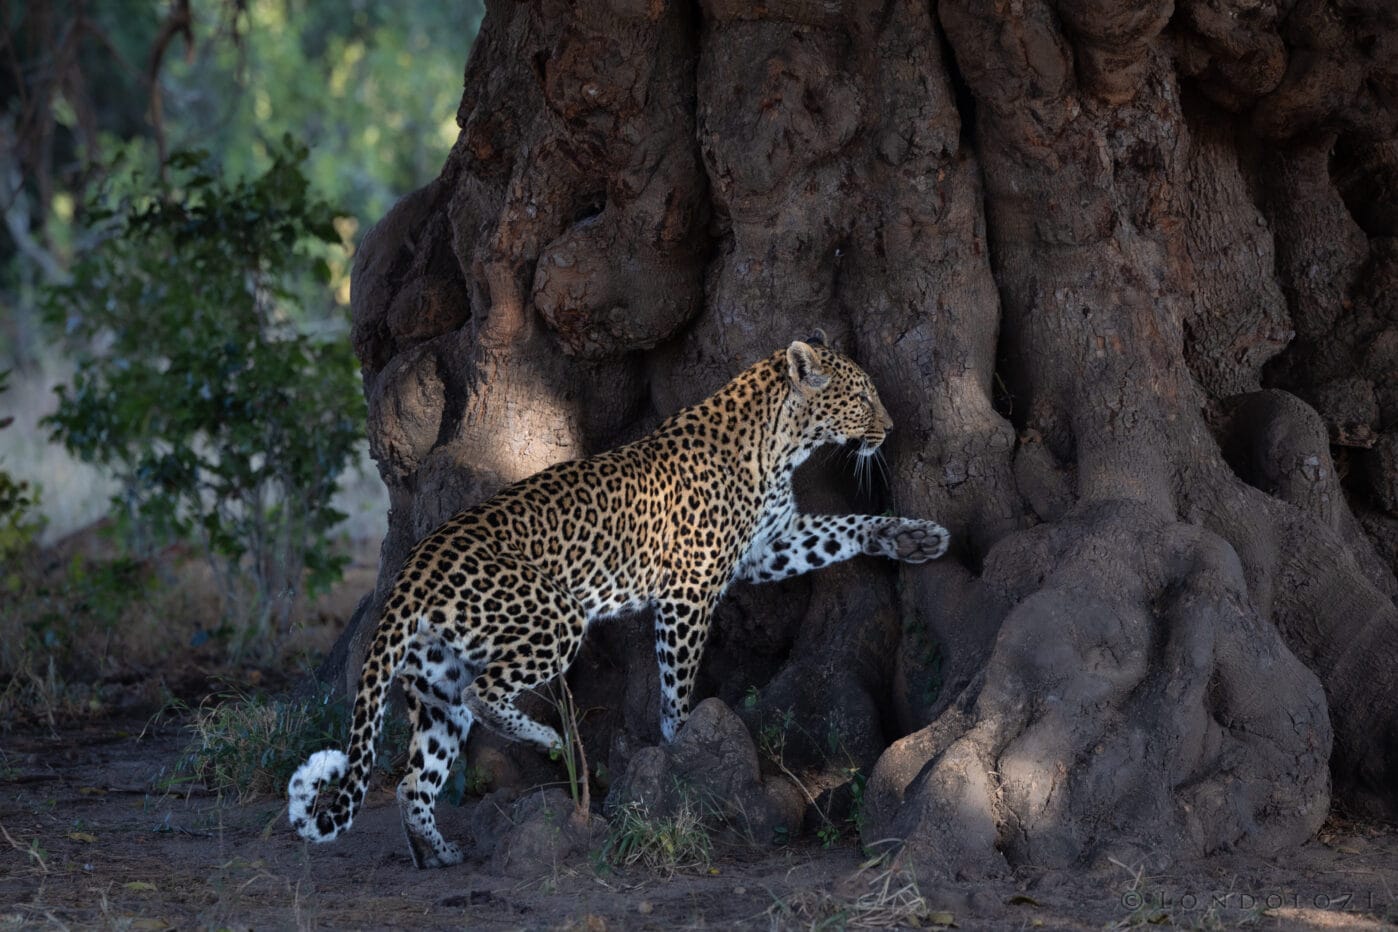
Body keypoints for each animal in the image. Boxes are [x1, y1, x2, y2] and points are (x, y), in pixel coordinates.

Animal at [287, 334, 950, 868]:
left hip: (435, 682)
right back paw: (549, 740)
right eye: (861, 397)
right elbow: (676, 682)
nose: (892, 428)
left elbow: (843, 529)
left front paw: (915, 537)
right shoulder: (690, 588)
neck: (780, 443)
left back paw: (437, 854)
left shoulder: (771, 546)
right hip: (555, 617)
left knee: (414, 779)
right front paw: (683, 750)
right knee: (485, 692)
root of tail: (412, 568)